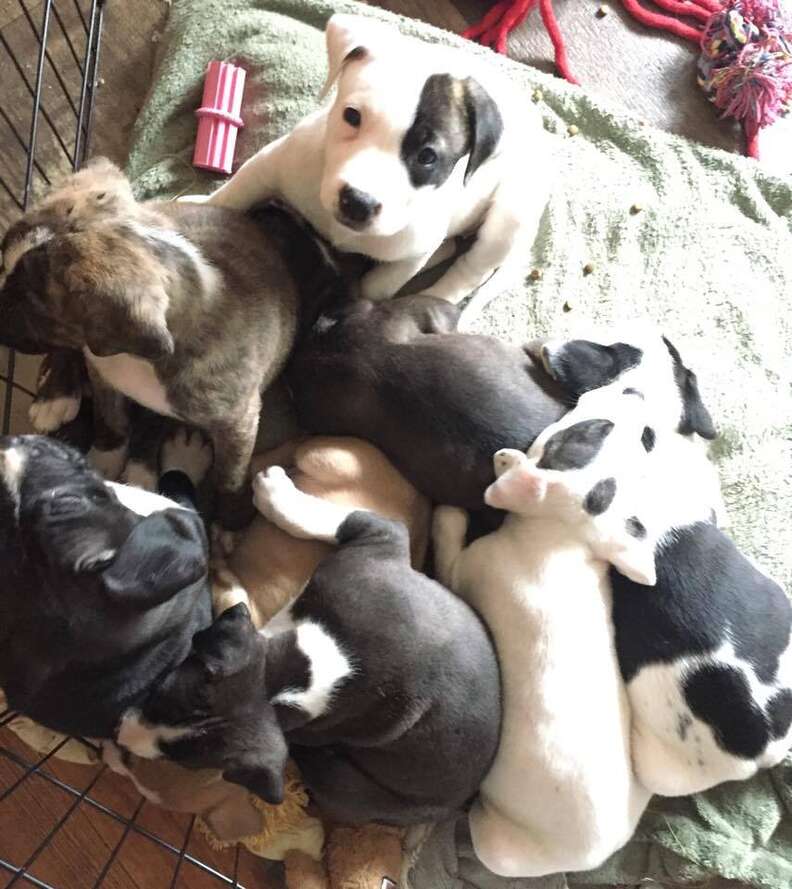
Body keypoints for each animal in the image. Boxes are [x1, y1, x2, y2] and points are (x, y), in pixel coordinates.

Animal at [117, 468, 502, 824]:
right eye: (160, 692)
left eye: (182, 760)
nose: (120, 736)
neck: (303, 669)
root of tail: (456, 806)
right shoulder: (378, 541)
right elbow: (337, 519)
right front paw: (276, 496)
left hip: (348, 785)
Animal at [189, 11, 552, 306]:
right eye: (352, 116)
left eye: (428, 156)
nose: (358, 202)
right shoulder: (271, 163)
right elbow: (232, 195)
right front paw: (200, 207)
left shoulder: (411, 254)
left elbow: (377, 285)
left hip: (508, 221)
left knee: (466, 273)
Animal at [434, 390, 656, 880]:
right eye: (603, 430)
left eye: (588, 429)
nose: (637, 393)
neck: (566, 539)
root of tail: (598, 855)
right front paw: (511, 460)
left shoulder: (469, 569)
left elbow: (449, 544)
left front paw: (451, 510)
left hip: (500, 847)